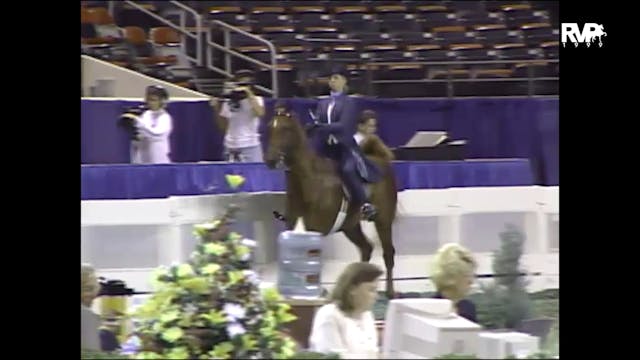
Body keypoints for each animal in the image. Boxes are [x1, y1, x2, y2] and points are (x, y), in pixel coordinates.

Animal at [264, 109, 396, 298]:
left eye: (286, 129)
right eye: (270, 127)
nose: (270, 159)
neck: (308, 182)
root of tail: (380, 160)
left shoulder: (315, 231)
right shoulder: (293, 229)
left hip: (383, 221)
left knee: (388, 253)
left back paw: (390, 293)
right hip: (351, 226)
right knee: (366, 248)